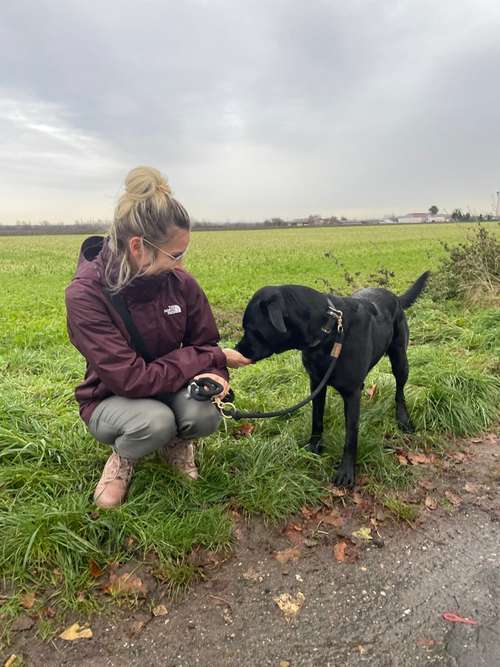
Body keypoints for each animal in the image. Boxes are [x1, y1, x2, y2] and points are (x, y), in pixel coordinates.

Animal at [237, 274, 430, 488]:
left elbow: (351, 434)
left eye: (250, 328)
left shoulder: (352, 393)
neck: (328, 332)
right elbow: (317, 419)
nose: (237, 350)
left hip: (400, 360)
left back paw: (403, 419)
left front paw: (346, 471)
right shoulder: (316, 385)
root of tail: (394, 296)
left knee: (400, 391)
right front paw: (314, 447)